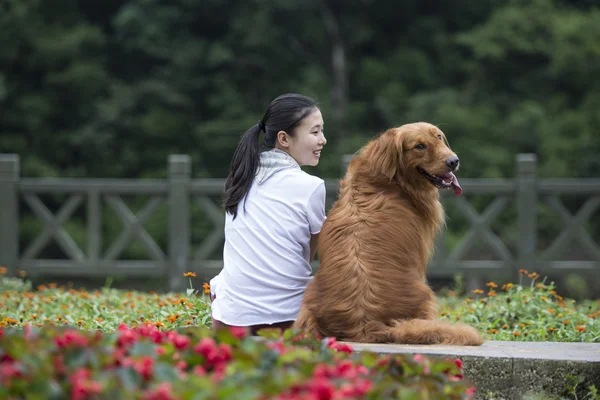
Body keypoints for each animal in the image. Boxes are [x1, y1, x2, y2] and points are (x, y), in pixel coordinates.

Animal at [292, 122, 486, 346]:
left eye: (438, 137)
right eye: (419, 146)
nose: (453, 161)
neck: (390, 180)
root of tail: (365, 323)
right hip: (426, 293)